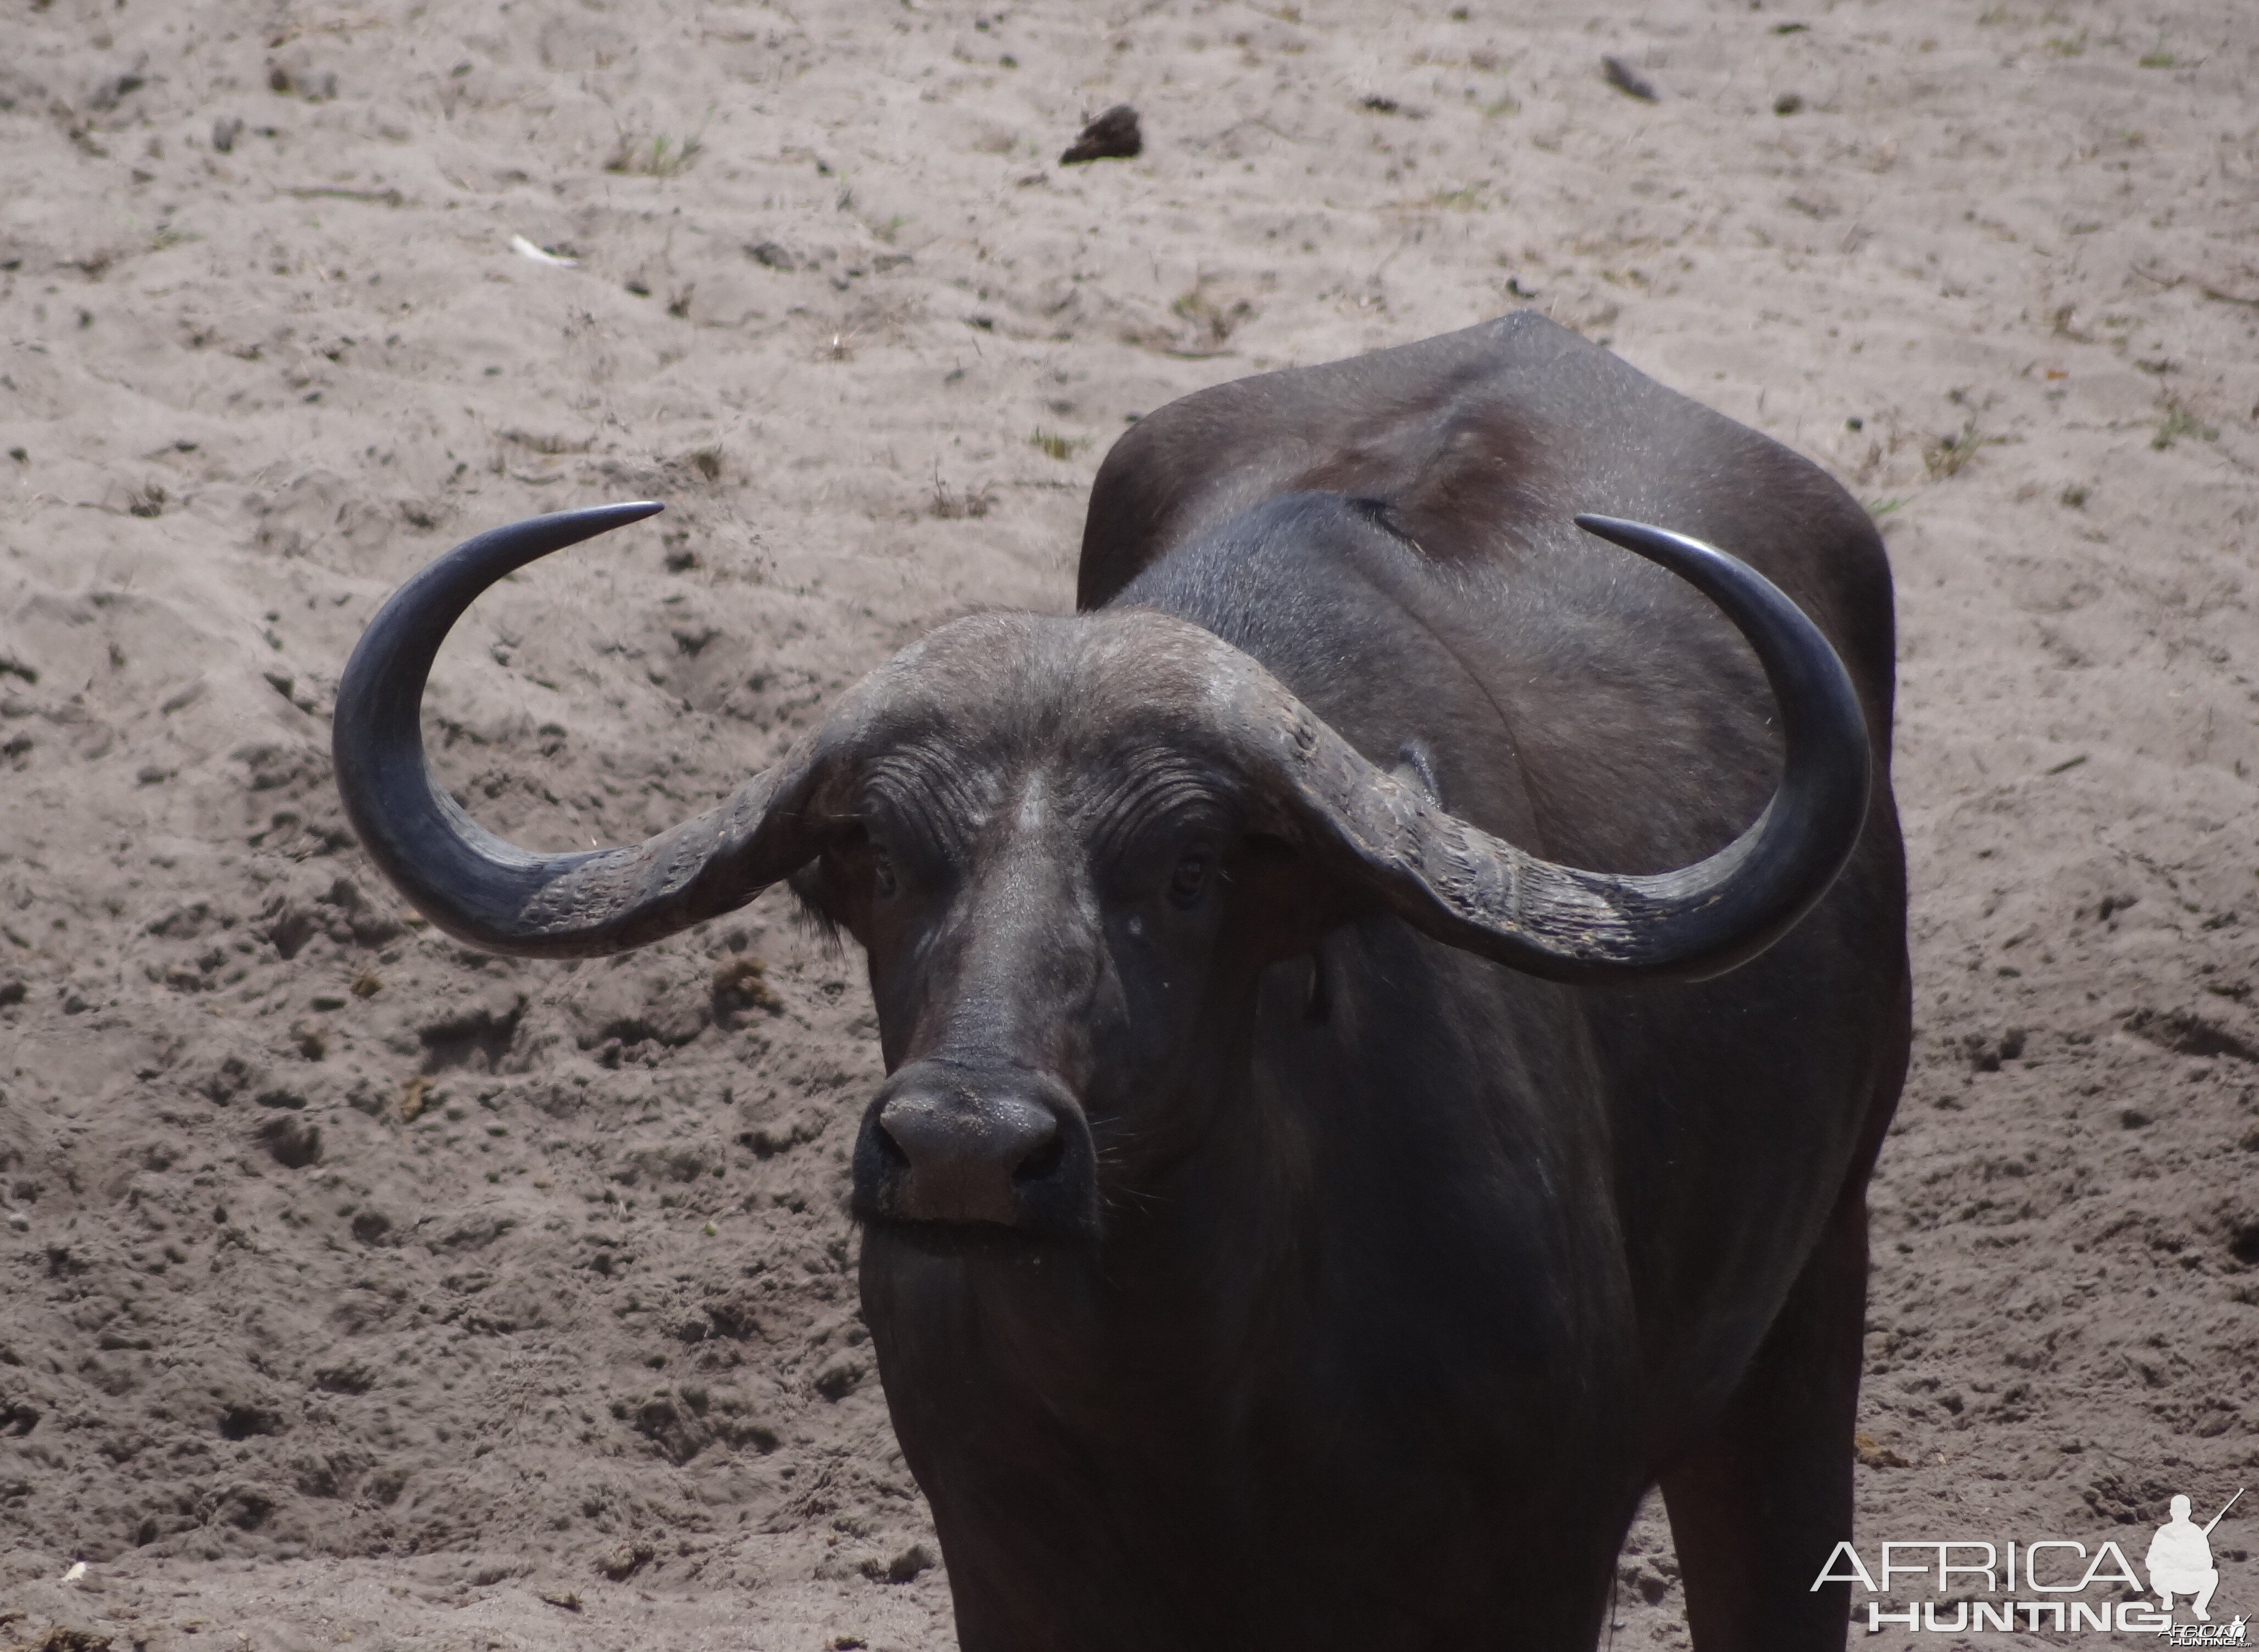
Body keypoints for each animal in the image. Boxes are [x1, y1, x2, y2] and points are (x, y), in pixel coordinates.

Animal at [334, 314, 1906, 1652]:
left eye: (1194, 867)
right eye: (874, 854)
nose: (965, 1149)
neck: (1193, 1391)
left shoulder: (1532, 1568)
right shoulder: (1007, 1571)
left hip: (1810, 1290)